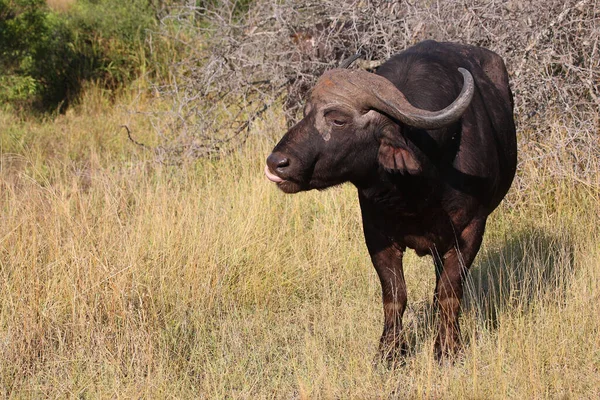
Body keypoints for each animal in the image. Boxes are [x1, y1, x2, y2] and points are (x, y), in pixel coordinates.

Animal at [264, 41, 516, 362]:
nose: (276, 162)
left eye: (338, 119)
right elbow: (395, 294)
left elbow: (449, 292)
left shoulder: (471, 230)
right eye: (306, 113)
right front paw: (390, 353)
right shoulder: (377, 235)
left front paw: (447, 349)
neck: (418, 189)